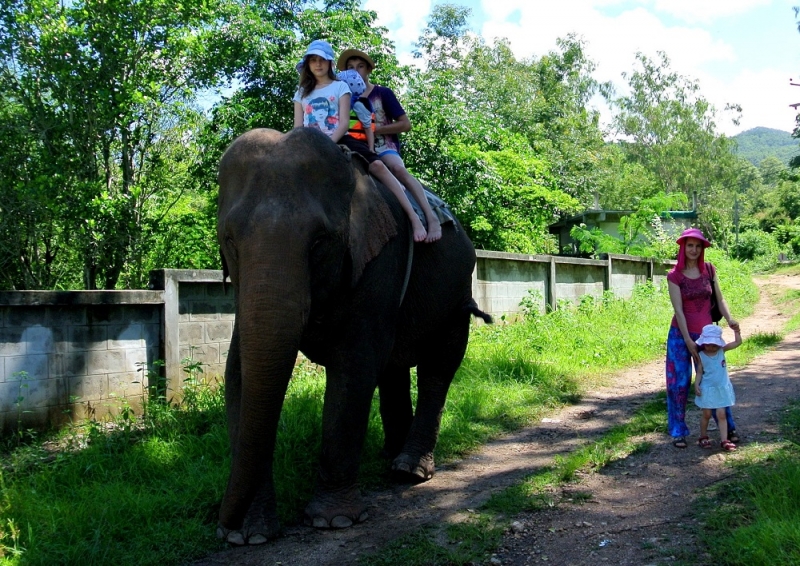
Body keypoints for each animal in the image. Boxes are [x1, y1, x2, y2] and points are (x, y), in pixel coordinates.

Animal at [216, 127, 490, 544]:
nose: (220, 521)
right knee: (393, 368)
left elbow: (354, 368)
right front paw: (249, 536)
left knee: (437, 369)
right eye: (229, 239)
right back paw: (390, 456)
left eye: (319, 241)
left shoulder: (381, 260)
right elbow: (238, 377)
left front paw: (334, 521)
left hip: (456, 295)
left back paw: (408, 470)